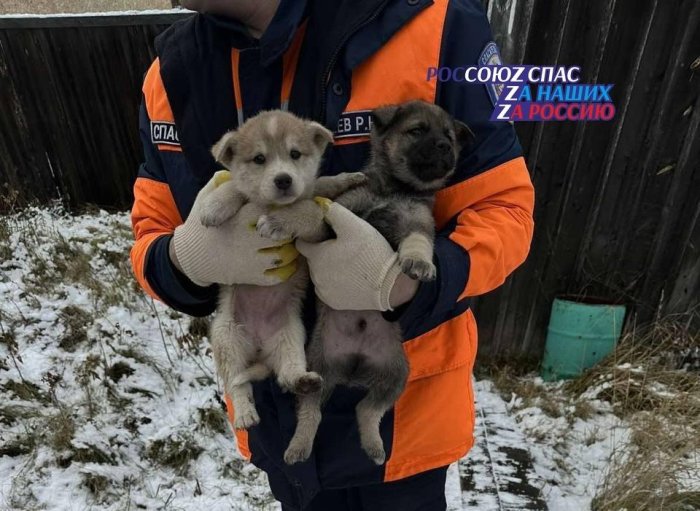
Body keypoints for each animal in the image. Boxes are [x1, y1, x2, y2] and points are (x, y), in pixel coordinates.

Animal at [258, 101, 476, 468]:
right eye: (417, 130)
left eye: (449, 136)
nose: (446, 148)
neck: (395, 190)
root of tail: (354, 367)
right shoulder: (336, 217)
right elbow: (311, 215)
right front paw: (282, 219)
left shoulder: (417, 221)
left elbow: (418, 241)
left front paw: (421, 263)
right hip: (318, 368)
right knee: (312, 413)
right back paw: (299, 445)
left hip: (396, 376)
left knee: (366, 410)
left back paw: (374, 445)